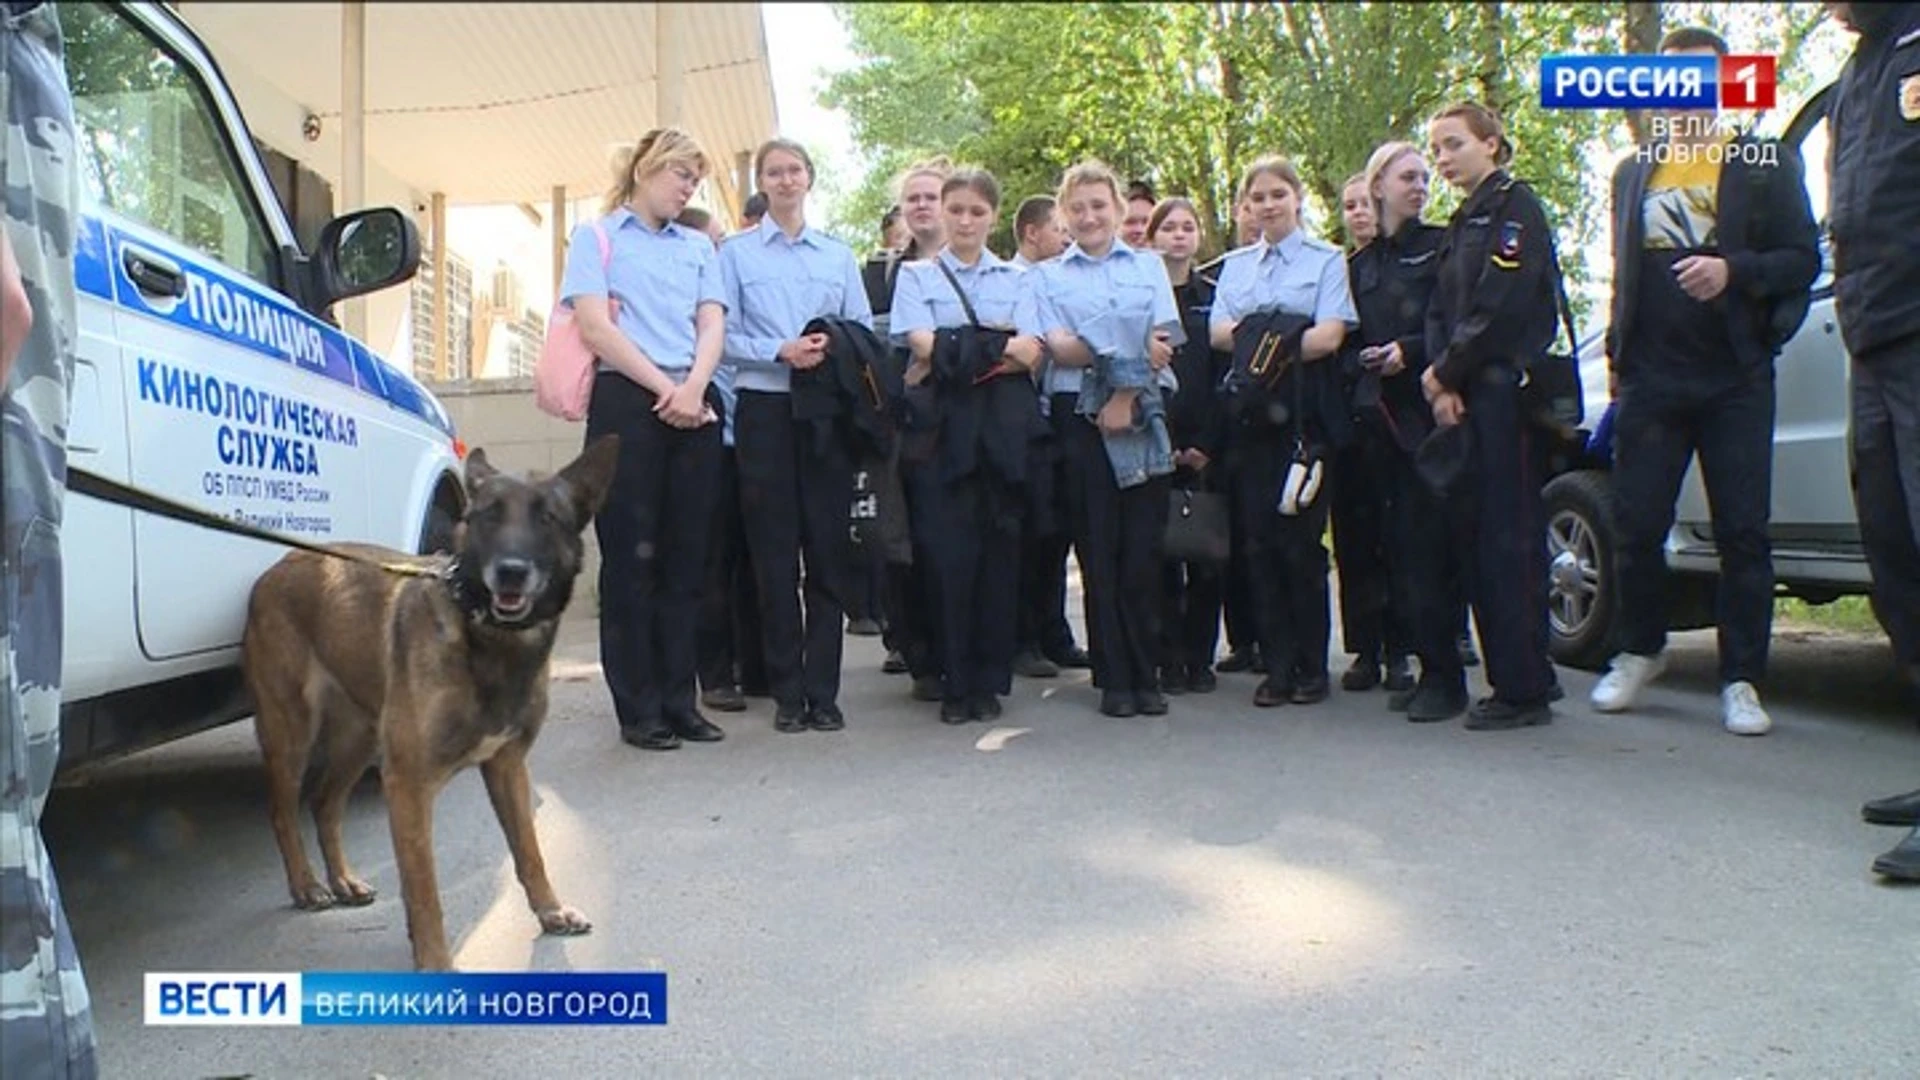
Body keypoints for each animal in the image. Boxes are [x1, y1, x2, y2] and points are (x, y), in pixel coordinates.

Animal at [240, 432, 614, 960]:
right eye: (488, 515)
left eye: (548, 518)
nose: (510, 573)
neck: (489, 639)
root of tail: (277, 565)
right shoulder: (409, 786)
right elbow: (424, 892)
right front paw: (435, 961)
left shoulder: (506, 767)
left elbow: (529, 852)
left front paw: (550, 910)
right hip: (291, 733)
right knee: (284, 810)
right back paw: (307, 885)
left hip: (359, 741)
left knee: (324, 804)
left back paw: (343, 881)